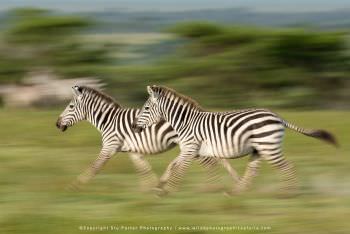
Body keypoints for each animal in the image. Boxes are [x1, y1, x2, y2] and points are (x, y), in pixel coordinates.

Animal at [55, 86, 241, 192]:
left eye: (70, 106)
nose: (57, 124)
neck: (108, 120)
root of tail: (199, 112)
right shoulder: (132, 150)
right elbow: (143, 168)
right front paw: (150, 188)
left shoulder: (110, 146)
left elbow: (94, 167)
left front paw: (75, 186)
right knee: (215, 160)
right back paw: (228, 182)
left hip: (191, 145)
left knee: (210, 163)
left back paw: (213, 187)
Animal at [133, 85, 338, 196]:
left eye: (146, 108)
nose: (135, 127)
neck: (185, 122)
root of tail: (278, 117)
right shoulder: (188, 150)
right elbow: (172, 166)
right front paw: (160, 187)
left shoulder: (190, 149)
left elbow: (179, 169)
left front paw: (169, 191)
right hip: (259, 149)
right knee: (253, 170)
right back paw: (237, 192)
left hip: (268, 146)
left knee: (287, 166)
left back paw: (289, 194)